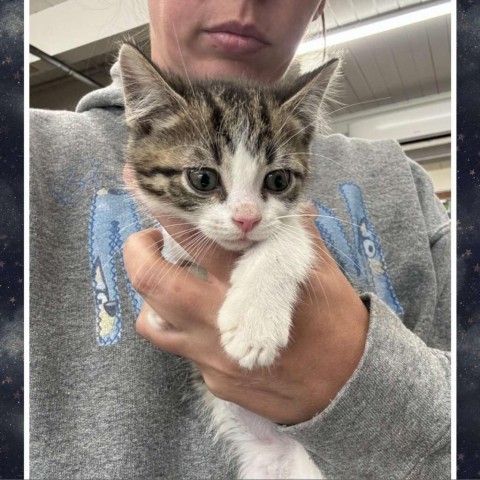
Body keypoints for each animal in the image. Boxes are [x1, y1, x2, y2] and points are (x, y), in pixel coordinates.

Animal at [119, 43, 338, 478]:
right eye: (202, 178)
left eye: (278, 180)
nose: (246, 218)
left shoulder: (300, 221)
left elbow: (288, 237)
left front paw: (254, 323)